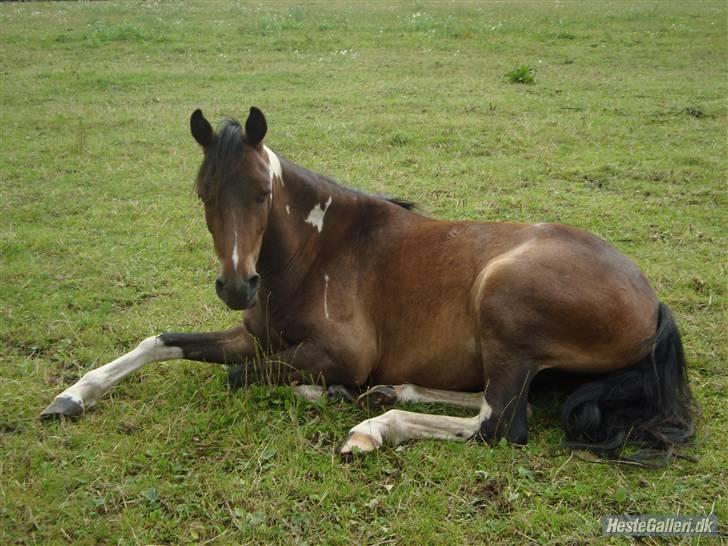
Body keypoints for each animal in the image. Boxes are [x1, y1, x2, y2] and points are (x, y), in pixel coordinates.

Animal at [42, 107, 696, 464]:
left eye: (261, 192)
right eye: (202, 194)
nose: (236, 287)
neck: (313, 253)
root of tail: (654, 302)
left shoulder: (338, 352)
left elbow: (240, 378)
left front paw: (330, 393)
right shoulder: (252, 337)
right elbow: (162, 342)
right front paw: (72, 397)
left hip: (502, 297)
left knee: (500, 423)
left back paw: (372, 427)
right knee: (506, 399)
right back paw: (391, 393)